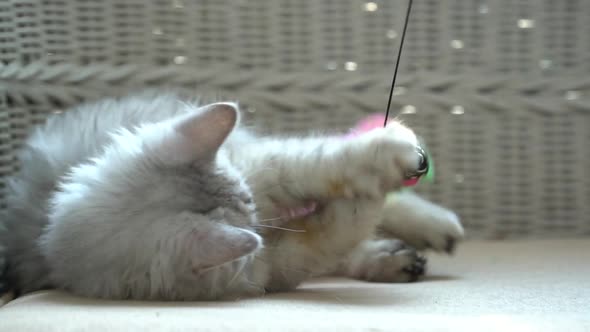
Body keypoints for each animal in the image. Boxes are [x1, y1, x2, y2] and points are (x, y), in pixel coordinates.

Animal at [0, 91, 462, 300]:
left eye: (249, 199)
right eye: (247, 214)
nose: (259, 217)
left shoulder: (267, 168)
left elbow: (331, 161)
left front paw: (393, 154)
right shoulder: (274, 266)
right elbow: (339, 229)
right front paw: (362, 201)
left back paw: (435, 226)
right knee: (354, 250)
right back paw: (395, 259)